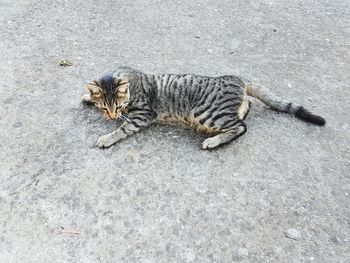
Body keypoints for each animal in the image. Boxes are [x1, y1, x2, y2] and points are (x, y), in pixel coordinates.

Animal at [82, 66, 326, 151]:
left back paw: (213, 142)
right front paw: (87, 97)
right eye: (105, 108)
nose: (112, 116)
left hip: (206, 113)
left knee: (241, 127)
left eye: (119, 105)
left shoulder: (144, 114)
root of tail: (237, 78)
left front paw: (107, 137)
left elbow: (123, 129)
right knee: (247, 108)